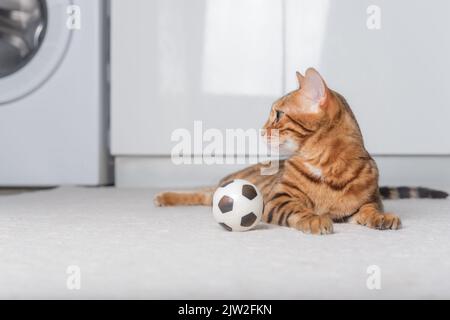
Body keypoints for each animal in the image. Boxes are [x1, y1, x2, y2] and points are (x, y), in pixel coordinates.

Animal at [154, 68, 446, 235]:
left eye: (278, 115)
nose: (261, 129)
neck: (329, 167)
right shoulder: (278, 199)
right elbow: (299, 210)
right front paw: (314, 219)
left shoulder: (366, 201)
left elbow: (370, 209)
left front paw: (381, 218)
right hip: (230, 184)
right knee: (205, 193)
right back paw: (164, 196)